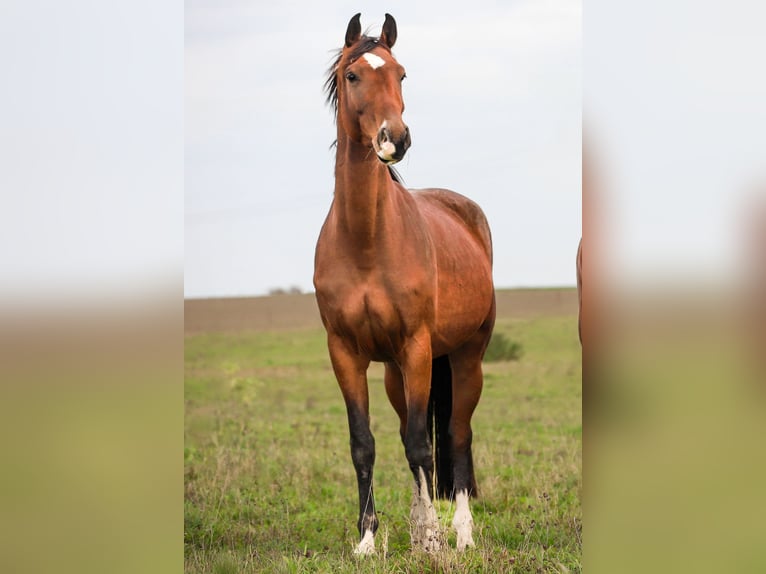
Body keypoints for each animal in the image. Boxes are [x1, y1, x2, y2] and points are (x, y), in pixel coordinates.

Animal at [314, 12, 498, 552]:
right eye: (353, 75)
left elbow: (422, 444)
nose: (395, 138)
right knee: (406, 434)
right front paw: (368, 539)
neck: (366, 241)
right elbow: (364, 444)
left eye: (401, 74)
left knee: (456, 435)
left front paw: (435, 537)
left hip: (465, 358)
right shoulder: (345, 353)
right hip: (397, 372)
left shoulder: (417, 346)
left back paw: (461, 533)